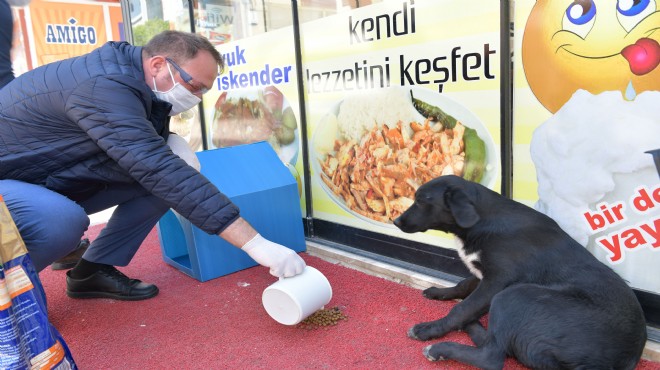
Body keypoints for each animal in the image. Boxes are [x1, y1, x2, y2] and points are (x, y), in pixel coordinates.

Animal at [394, 176, 648, 370]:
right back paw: (472, 325)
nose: (396, 221)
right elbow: (462, 285)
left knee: (492, 356)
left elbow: (462, 308)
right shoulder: (483, 274)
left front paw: (430, 329)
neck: (484, 220)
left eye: (420, 201)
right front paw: (439, 292)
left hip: (513, 295)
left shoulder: (496, 282)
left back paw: (442, 347)